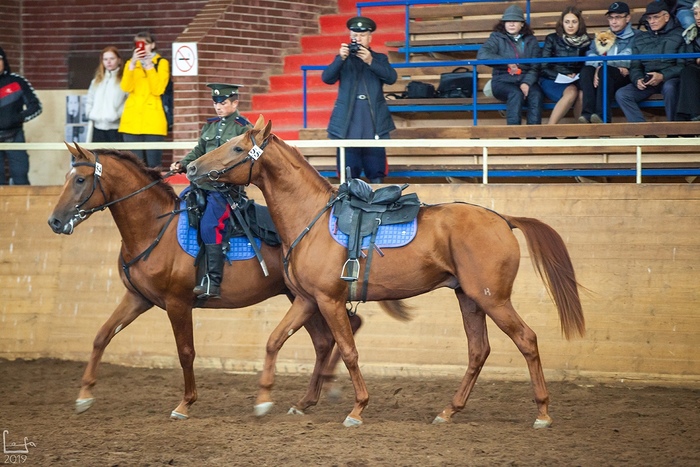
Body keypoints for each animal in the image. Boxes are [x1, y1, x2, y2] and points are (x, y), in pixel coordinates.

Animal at [47, 144, 410, 420]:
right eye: (66, 178)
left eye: (80, 179)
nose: (54, 221)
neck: (155, 227)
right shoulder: (138, 298)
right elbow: (101, 337)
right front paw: (84, 394)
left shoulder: (177, 303)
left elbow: (185, 352)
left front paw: (185, 404)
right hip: (302, 297)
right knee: (328, 338)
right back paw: (314, 395)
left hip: (311, 297)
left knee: (343, 328)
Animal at [186, 116, 584, 428]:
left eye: (237, 148)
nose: (191, 169)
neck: (311, 217)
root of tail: (503, 218)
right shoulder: (306, 300)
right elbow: (274, 340)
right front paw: (267, 400)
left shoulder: (329, 301)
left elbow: (348, 350)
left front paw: (357, 408)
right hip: (469, 298)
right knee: (478, 351)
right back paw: (449, 410)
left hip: (493, 299)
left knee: (526, 340)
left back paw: (542, 413)